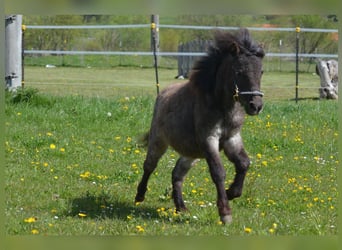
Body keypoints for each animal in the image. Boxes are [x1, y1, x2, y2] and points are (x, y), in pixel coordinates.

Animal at [135, 28, 266, 224]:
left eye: (261, 71)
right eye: (238, 71)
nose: (255, 106)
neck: (222, 107)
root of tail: (162, 94)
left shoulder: (232, 138)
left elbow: (244, 163)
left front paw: (231, 192)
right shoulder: (209, 139)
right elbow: (218, 172)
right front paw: (225, 212)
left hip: (192, 153)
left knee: (177, 174)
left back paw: (181, 207)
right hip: (158, 142)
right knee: (149, 166)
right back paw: (139, 196)